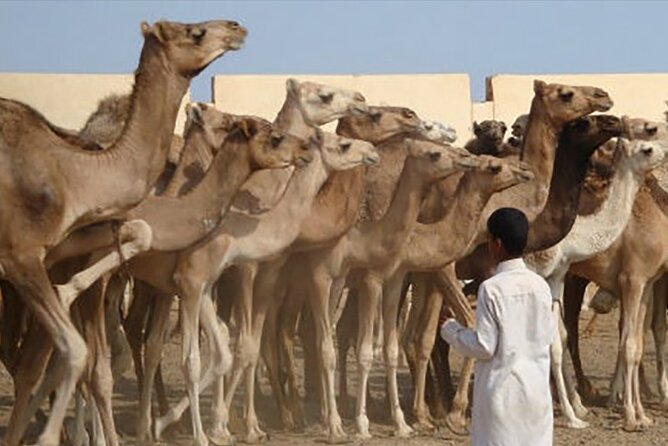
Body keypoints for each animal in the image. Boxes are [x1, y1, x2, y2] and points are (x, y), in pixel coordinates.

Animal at [0, 19, 246, 446]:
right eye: (194, 32)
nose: (236, 27)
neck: (73, 173)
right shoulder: (21, 255)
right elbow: (80, 356)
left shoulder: (61, 250)